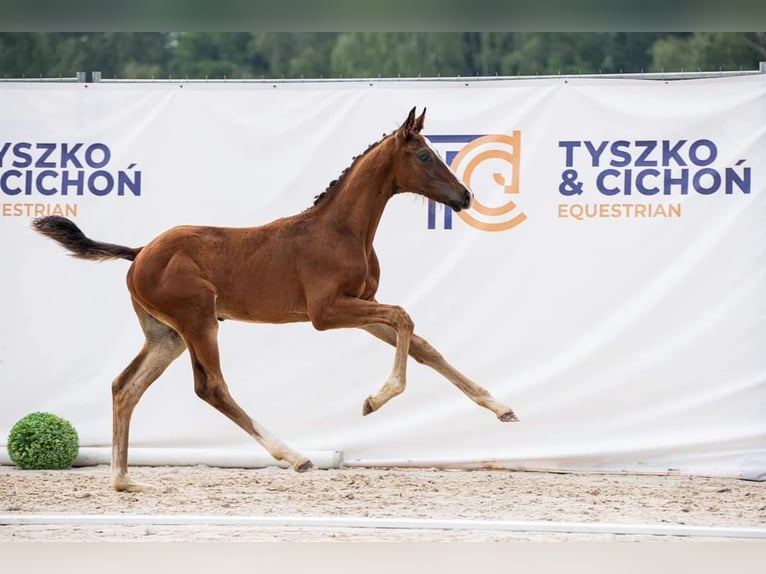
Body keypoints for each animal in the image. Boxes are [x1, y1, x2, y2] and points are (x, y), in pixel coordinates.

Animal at [33, 109, 520, 496]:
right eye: (423, 156)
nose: (464, 197)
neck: (341, 230)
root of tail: (139, 254)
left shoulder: (361, 305)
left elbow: (422, 344)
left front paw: (502, 408)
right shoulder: (326, 312)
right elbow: (405, 317)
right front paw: (375, 400)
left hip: (166, 334)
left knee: (125, 386)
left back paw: (124, 480)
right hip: (198, 321)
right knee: (211, 387)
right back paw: (295, 455)